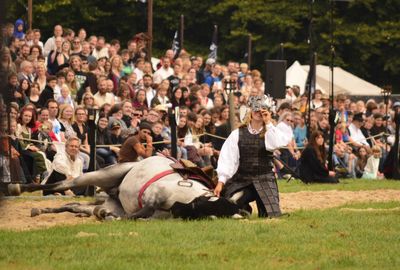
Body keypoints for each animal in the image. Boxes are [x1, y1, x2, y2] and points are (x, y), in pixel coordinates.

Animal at [4, 155, 245, 220]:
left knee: (74, 205)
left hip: (111, 199)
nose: (176, 209)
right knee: (66, 183)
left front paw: (105, 215)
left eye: (200, 211)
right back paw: (17, 188)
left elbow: (137, 216)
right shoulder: (152, 197)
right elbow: (137, 214)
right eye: (202, 205)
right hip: (103, 174)